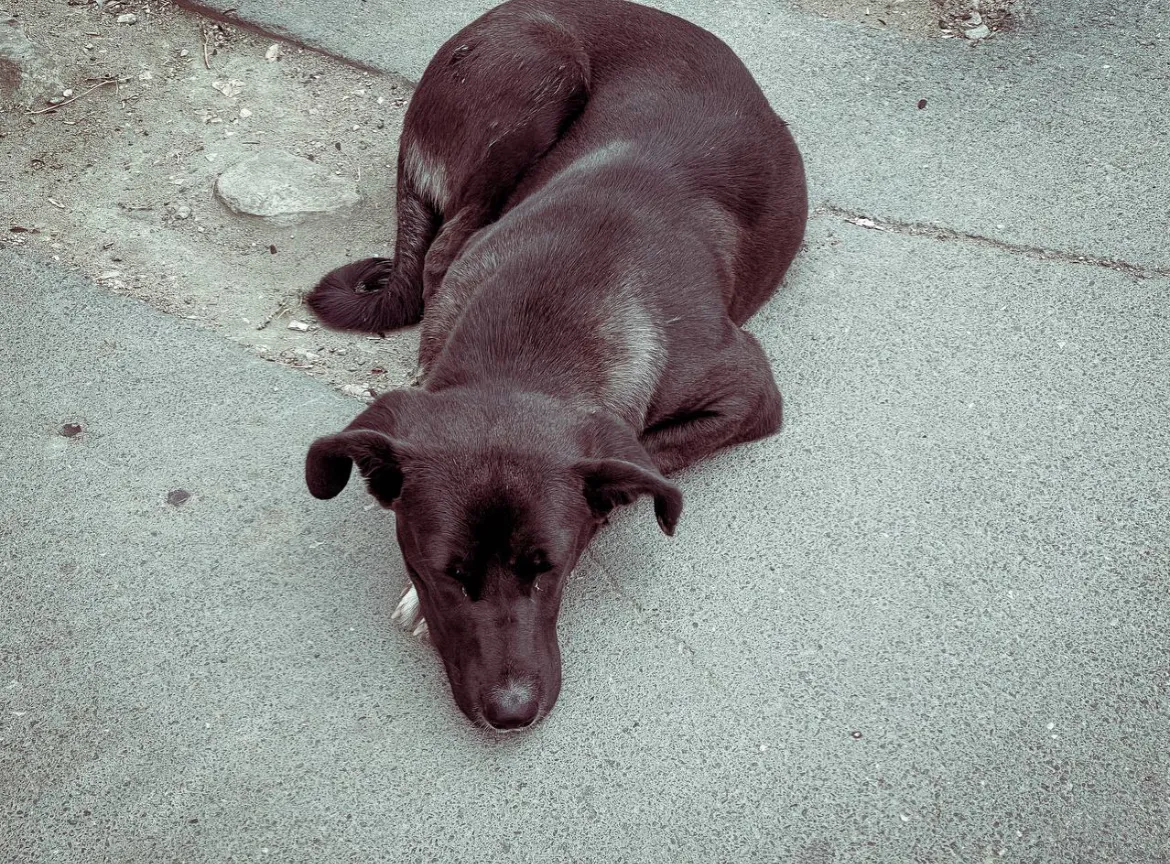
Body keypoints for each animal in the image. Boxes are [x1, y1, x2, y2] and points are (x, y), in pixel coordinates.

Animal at [304, 0, 807, 732]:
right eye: (445, 574)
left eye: (550, 567)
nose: (510, 713)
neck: (537, 331)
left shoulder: (749, 391)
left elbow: (648, 458)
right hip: (540, 78)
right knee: (443, 247)